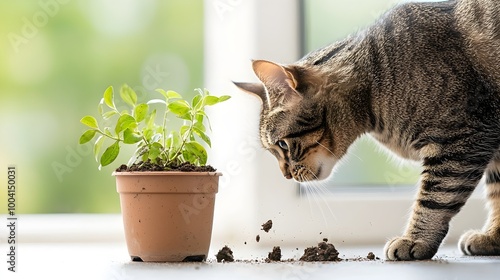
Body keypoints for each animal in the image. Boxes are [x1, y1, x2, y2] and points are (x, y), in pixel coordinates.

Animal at [236, 0, 500, 262]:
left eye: (282, 144)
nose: (286, 176)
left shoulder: (459, 141)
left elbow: (434, 198)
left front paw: (415, 240)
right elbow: (496, 192)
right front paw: (493, 237)